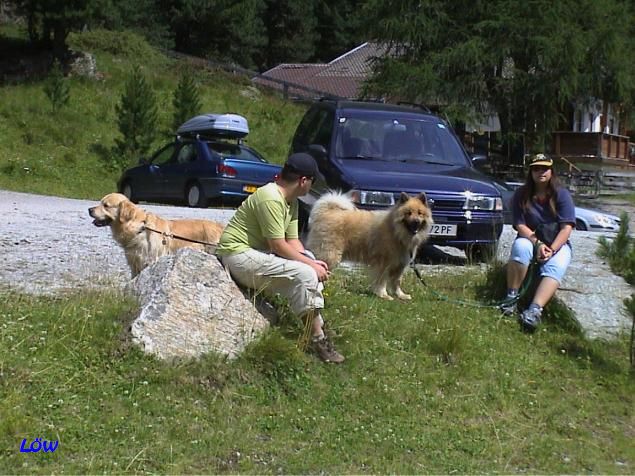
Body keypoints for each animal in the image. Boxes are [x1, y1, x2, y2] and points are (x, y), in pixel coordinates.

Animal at [89, 192, 224, 276]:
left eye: (106, 205)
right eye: (100, 202)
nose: (89, 209)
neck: (140, 228)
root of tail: (220, 226)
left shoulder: (152, 260)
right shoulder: (135, 263)